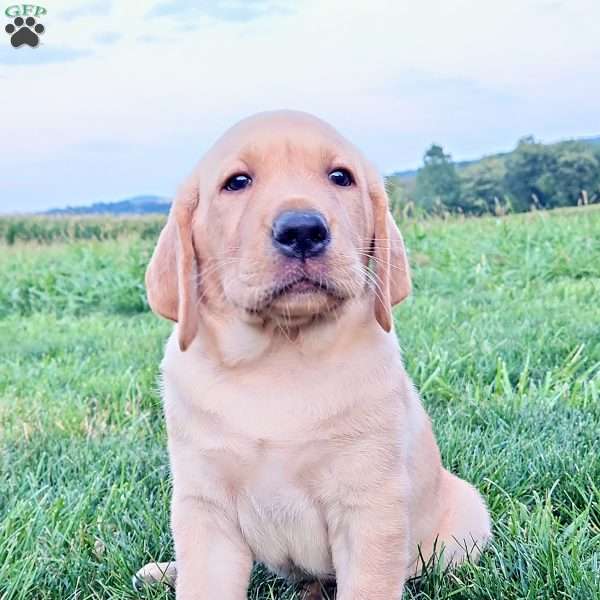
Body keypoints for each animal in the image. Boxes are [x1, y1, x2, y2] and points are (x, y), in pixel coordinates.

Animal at [137, 110, 492, 596]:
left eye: (340, 177)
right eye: (237, 182)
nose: (303, 229)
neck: (279, 357)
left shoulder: (370, 505)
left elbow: (368, 586)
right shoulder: (204, 506)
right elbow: (203, 584)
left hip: (467, 516)